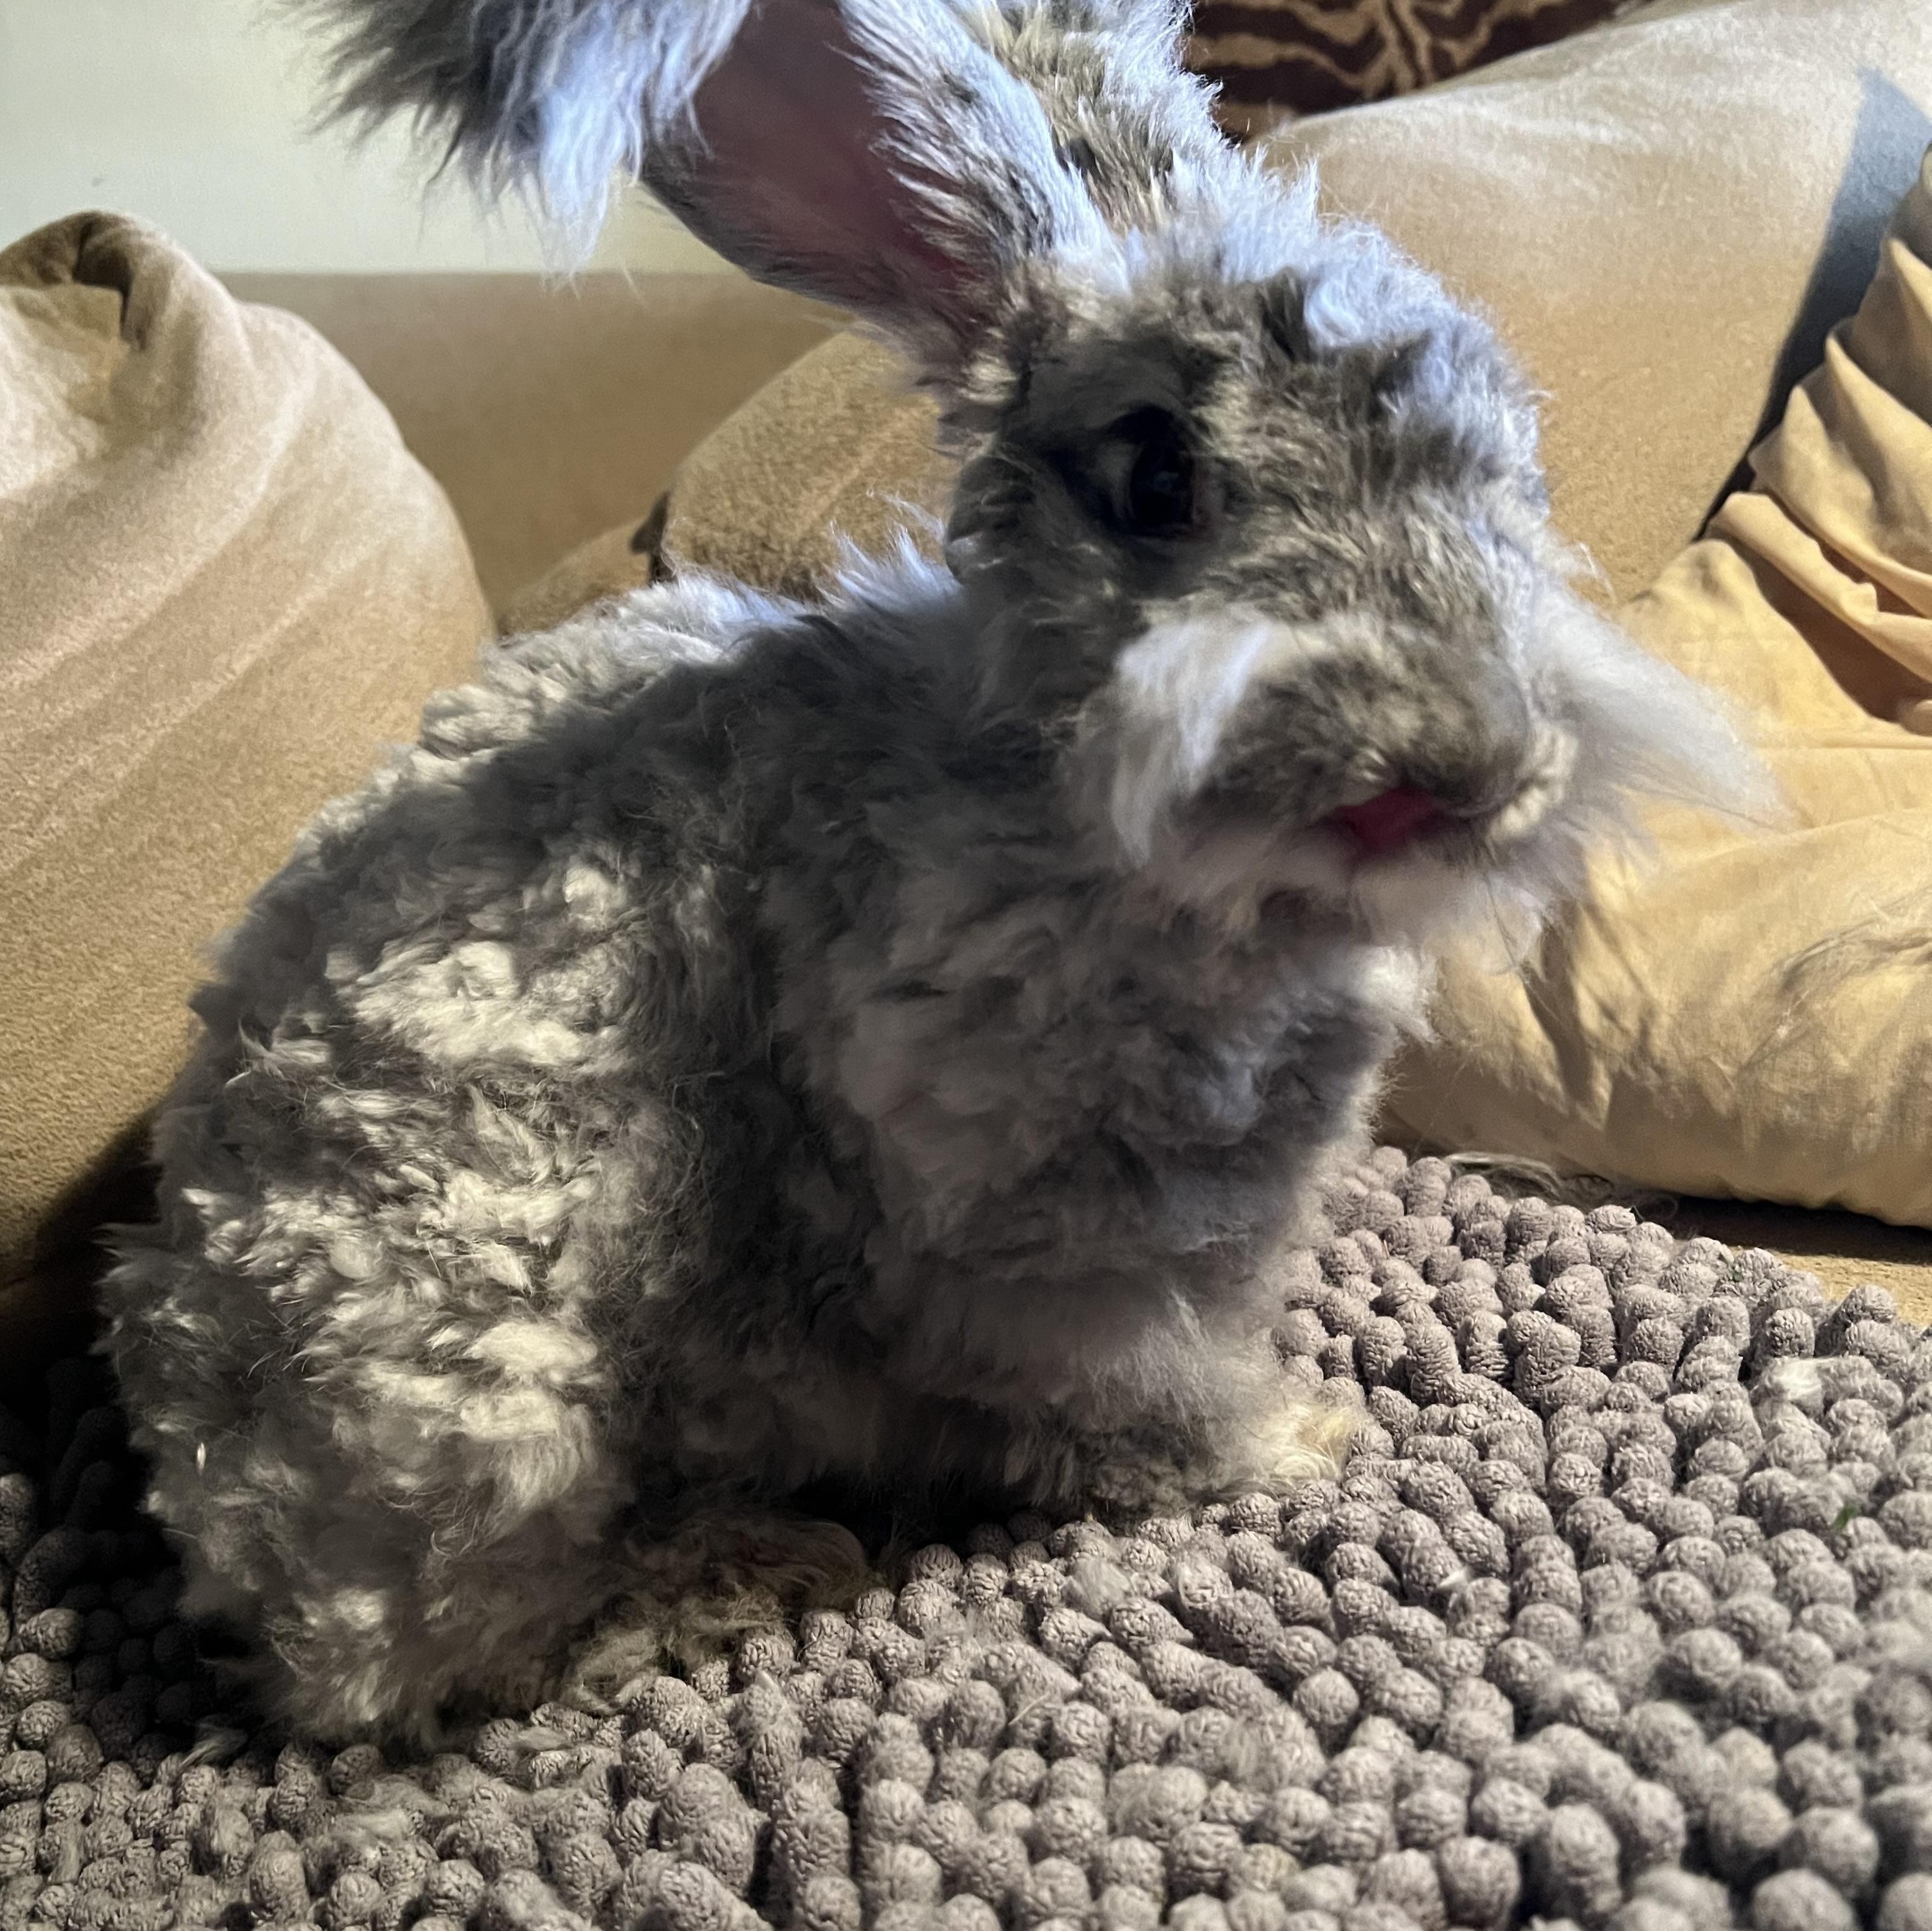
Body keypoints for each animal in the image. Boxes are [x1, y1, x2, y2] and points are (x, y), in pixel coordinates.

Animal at [103, 0, 1769, 1742]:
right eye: (1158, 478)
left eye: (1516, 463)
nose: (1454, 775)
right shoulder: (1058, 1252)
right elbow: (1153, 1393)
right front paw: (1305, 1444)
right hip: (496, 1401)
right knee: (453, 1655)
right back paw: (746, 1571)